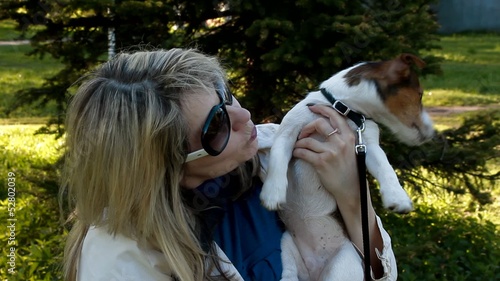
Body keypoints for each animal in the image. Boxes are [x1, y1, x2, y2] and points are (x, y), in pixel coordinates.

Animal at [258, 53, 434, 278]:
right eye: (420, 95)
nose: (432, 133)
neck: (342, 108)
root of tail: (314, 272)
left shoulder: (368, 145)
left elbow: (386, 169)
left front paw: (398, 198)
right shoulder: (287, 132)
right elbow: (277, 161)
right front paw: (273, 193)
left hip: (343, 263)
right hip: (287, 247)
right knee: (288, 274)